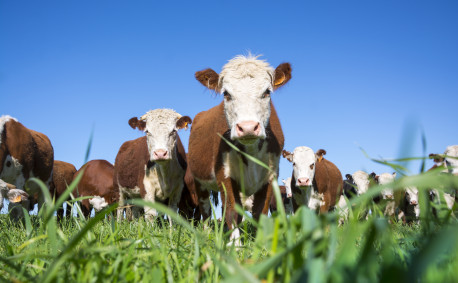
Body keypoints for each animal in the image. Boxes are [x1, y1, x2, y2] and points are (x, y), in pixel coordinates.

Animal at [187, 55, 290, 244]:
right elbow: (232, 211)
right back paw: (206, 233)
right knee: (205, 210)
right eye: (226, 94)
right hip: (199, 180)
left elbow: (260, 212)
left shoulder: (271, 174)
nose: (248, 127)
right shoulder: (224, 173)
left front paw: (260, 244)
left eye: (267, 92)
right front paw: (235, 245)